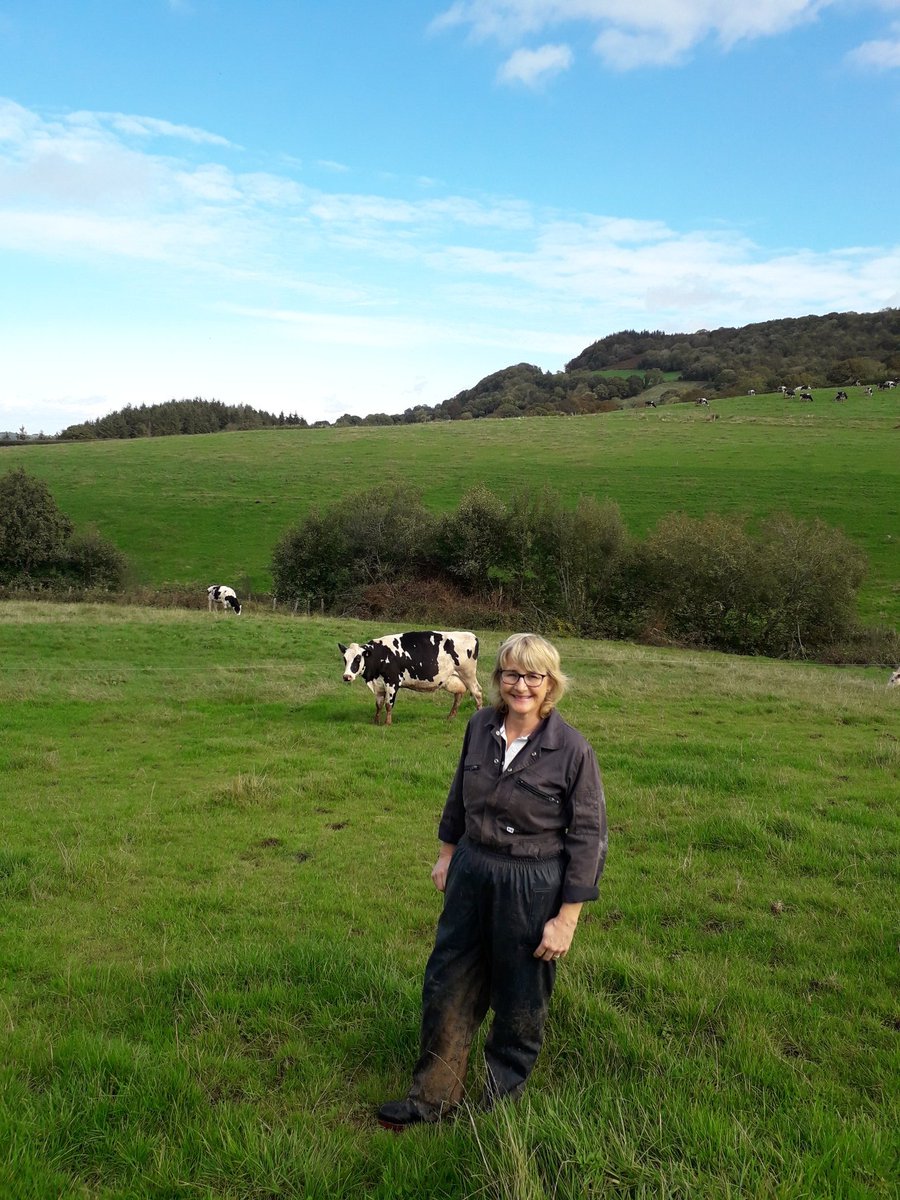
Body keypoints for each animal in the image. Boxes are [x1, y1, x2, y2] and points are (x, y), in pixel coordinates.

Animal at [338, 633, 482, 724]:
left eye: (358, 658)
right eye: (345, 659)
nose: (347, 676)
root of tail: (471, 635)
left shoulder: (392, 682)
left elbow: (388, 704)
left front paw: (387, 723)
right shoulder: (378, 684)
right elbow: (378, 704)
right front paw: (376, 721)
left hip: (468, 674)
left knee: (477, 693)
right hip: (455, 678)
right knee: (458, 695)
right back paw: (450, 717)